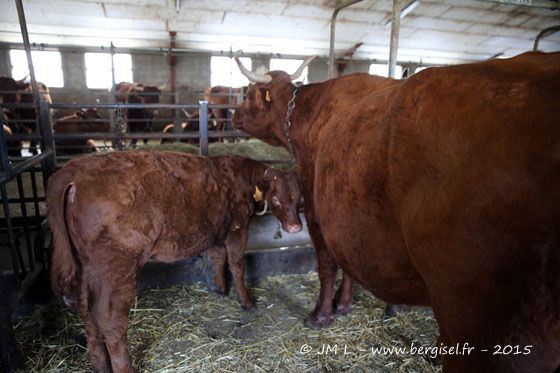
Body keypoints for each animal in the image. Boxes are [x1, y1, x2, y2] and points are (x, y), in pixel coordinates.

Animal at [47, 150, 302, 370]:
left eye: (298, 198)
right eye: (276, 200)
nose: (295, 227)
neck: (239, 175)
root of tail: (73, 170)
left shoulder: (216, 232)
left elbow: (218, 259)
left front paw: (221, 288)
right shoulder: (237, 230)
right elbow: (237, 265)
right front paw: (246, 301)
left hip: (85, 267)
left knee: (86, 313)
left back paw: (100, 366)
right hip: (117, 268)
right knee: (109, 320)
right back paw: (125, 367)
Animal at [234, 50, 560, 370]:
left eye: (247, 93)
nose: (234, 115)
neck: (307, 113)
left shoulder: (315, 207)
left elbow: (327, 264)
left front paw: (321, 314)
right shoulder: (343, 212)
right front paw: (345, 303)